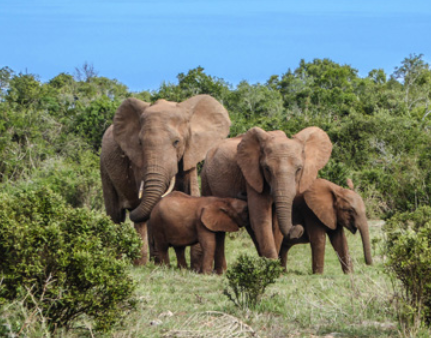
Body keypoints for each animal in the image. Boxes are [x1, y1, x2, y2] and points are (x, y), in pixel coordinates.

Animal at [100, 94, 233, 264]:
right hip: (104, 167)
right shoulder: (138, 160)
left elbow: (192, 192)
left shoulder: (190, 152)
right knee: (116, 216)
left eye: (176, 142)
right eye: (140, 143)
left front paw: (196, 264)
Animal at [201, 125, 332, 260]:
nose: (298, 229)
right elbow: (261, 218)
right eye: (267, 169)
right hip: (205, 178)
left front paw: (272, 263)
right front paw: (272, 264)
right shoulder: (253, 176)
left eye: (299, 169)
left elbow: (275, 224)